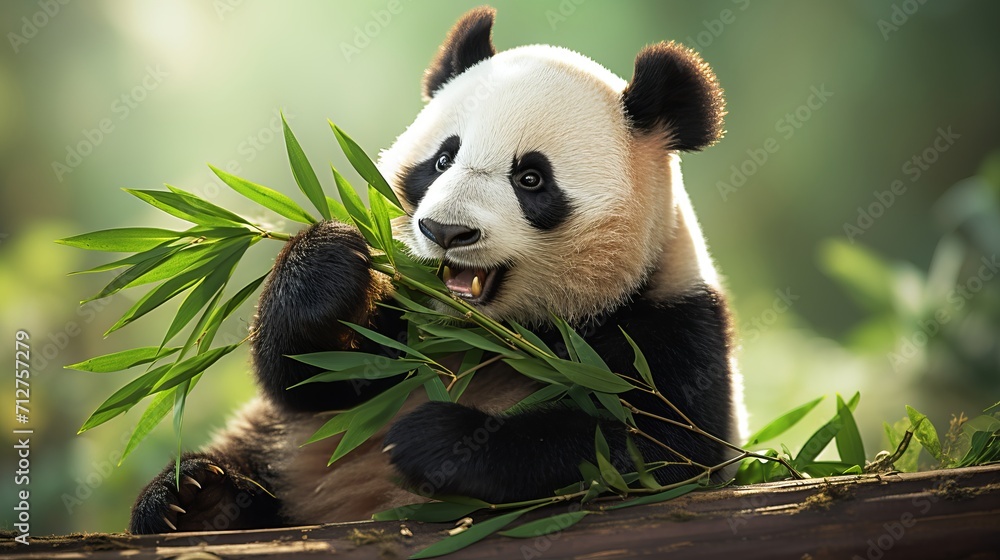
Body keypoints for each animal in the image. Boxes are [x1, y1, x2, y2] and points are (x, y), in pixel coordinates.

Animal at [129, 6, 744, 533]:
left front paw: (439, 441)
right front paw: (326, 265)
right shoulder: (406, 322)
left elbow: (653, 449)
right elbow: (313, 382)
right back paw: (196, 500)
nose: (446, 232)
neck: (495, 338)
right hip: (277, 451)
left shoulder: (671, 319)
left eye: (531, 179)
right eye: (442, 159)